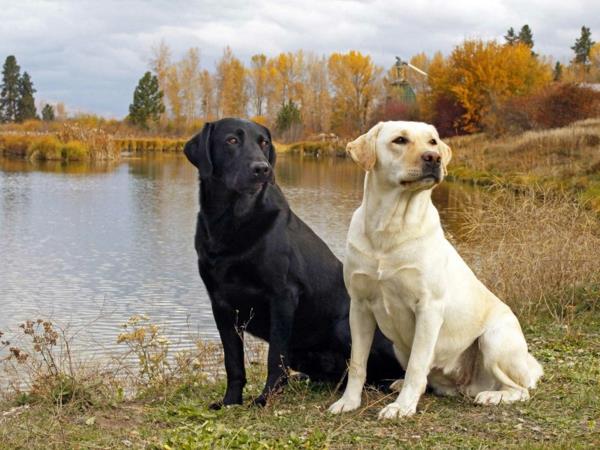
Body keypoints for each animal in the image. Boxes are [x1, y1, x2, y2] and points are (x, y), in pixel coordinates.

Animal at [185, 117, 404, 408]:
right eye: (231, 140)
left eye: (264, 143)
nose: (262, 169)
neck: (233, 221)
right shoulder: (220, 304)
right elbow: (233, 361)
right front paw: (230, 401)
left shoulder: (282, 295)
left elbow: (274, 357)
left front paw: (265, 399)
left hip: (345, 327)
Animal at [328, 122, 544, 418]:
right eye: (400, 140)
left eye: (432, 141)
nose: (434, 157)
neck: (391, 227)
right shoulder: (359, 306)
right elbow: (358, 364)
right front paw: (348, 401)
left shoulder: (428, 308)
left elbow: (417, 365)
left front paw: (402, 407)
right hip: (399, 346)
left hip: (495, 338)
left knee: (520, 389)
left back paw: (492, 396)